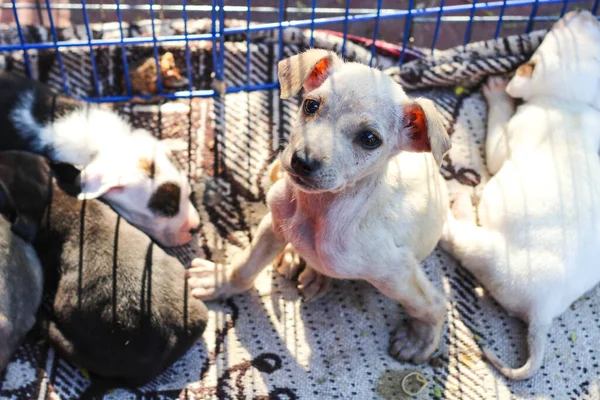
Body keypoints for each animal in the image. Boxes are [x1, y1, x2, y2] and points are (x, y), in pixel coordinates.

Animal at [190, 48, 452, 364]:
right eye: (311, 105)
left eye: (370, 139)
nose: (302, 161)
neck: (318, 210)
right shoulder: (273, 224)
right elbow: (245, 267)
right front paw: (220, 282)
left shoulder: (396, 272)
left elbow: (432, 304)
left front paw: (420, 339)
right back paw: (295, 258)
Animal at [440, 7, 600, 380]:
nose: (580, 10)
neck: (571, 102)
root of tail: (544, 309)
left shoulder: (511, 133)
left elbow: (498, 140)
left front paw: (500, 91)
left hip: (490, 255)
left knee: (459, 241)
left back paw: (458, 210)